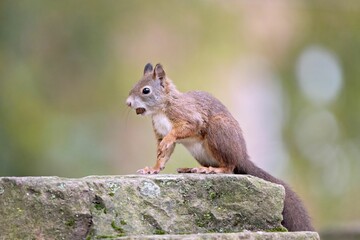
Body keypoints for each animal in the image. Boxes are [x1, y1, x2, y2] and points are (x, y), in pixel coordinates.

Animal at [125, 62, 314, 232]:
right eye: (134, 86)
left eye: (146, 90)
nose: (127, 103)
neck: (161, 109)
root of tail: (242, 156)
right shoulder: (159, 132)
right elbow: (163, 155)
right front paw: (153, 168)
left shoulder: (188, 115)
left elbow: (187, 128)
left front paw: (169, 139)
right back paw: (192, 168)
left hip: (218, 131)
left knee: (229, 167)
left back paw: (213, 170)